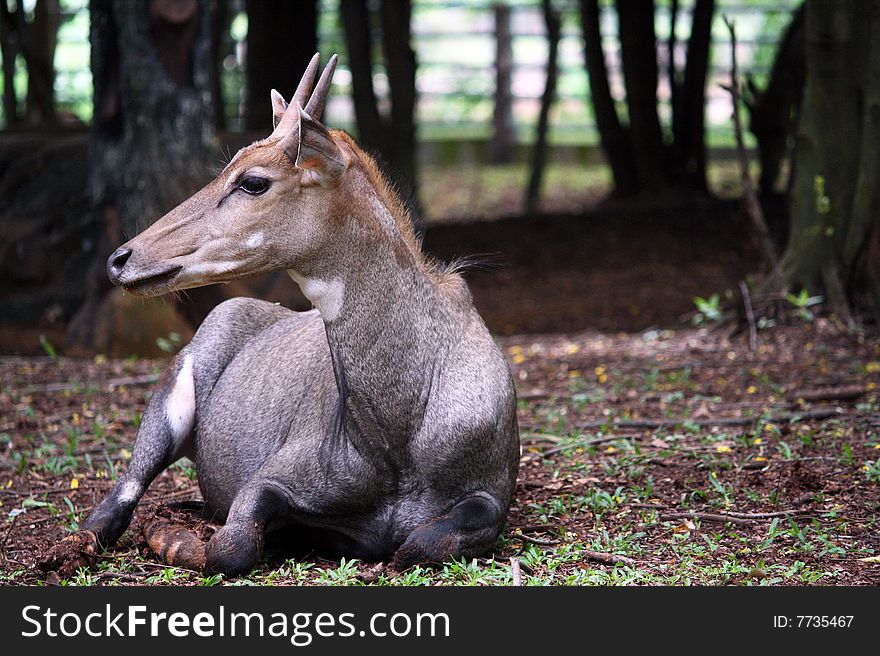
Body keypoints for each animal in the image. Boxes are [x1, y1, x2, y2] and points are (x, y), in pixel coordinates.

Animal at [41, 53, 520, 576]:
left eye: (253, 182)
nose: (120, 259)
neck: (398, 434)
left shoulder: (491, 494)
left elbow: (421, 543)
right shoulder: (269, 478)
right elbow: (230, 544)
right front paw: (174, 536)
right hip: (169, 405)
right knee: (119, 499)